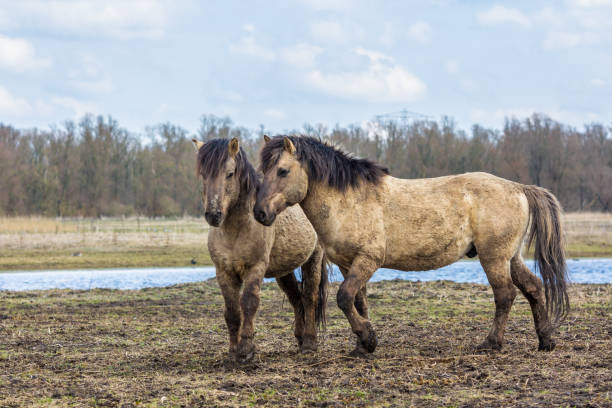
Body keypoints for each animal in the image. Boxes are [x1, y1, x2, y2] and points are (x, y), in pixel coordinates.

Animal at [192, 139, 328, 362]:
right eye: (203, 174)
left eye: (230, 173)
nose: (213, 214)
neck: (236, 230)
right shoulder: (223, 271)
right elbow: (231, 311)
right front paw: (233, 351)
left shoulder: (255, 268)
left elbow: (249, 303)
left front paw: (247, 349)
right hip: (284, 270)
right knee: (295, 297)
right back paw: (300, 338)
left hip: (314, 258)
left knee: (309, 297)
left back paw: (309, 342)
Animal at [253, 135, 568, 356]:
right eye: (262, 170)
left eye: (283, 171)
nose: (259, 213)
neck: (350, 200)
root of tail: (518, 188)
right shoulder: (347, 263)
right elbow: (358, 301)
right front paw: (362, 344)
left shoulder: (368, 259)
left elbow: (344, 297)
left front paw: (368, 339)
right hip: (511, 258)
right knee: (534, 287)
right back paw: (545, 340)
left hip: (494, 258)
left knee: (505, 295)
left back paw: (491, 343)